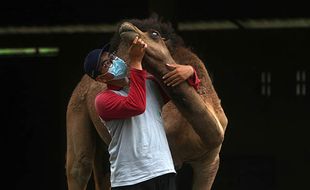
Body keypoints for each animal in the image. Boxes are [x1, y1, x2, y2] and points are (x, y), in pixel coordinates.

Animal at [66, 16, 228, 190]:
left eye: (154, 34)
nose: (126, 26)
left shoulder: (209, 162)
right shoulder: (171, 155)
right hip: (77, 107)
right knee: (79, 166)